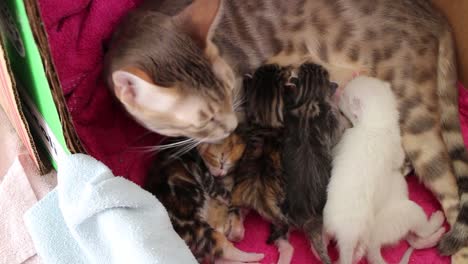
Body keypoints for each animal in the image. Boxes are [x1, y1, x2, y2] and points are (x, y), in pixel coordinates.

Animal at [324, 76, 444, 264]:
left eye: (343, 97)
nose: (338, 91)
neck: (374, 124)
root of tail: (346, 237)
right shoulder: (395, 148)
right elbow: (398, 160)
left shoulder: (344, 141)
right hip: (407, 212)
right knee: (422, 231)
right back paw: (438, 222)